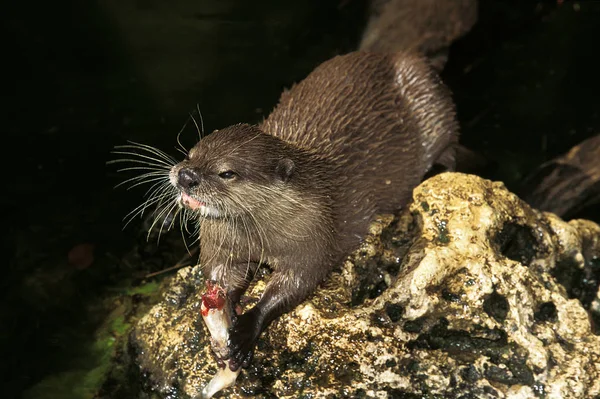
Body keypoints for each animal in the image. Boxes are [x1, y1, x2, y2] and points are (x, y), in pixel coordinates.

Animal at [166, 50, 458, 372]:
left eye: (226, 173)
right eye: (191, 153)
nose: (186, 175)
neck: (262, 237)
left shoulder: (312, 236)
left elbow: (294, 284)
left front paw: (245, 330)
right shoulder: (221, 242)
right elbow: (221, 275)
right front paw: (223, 312)